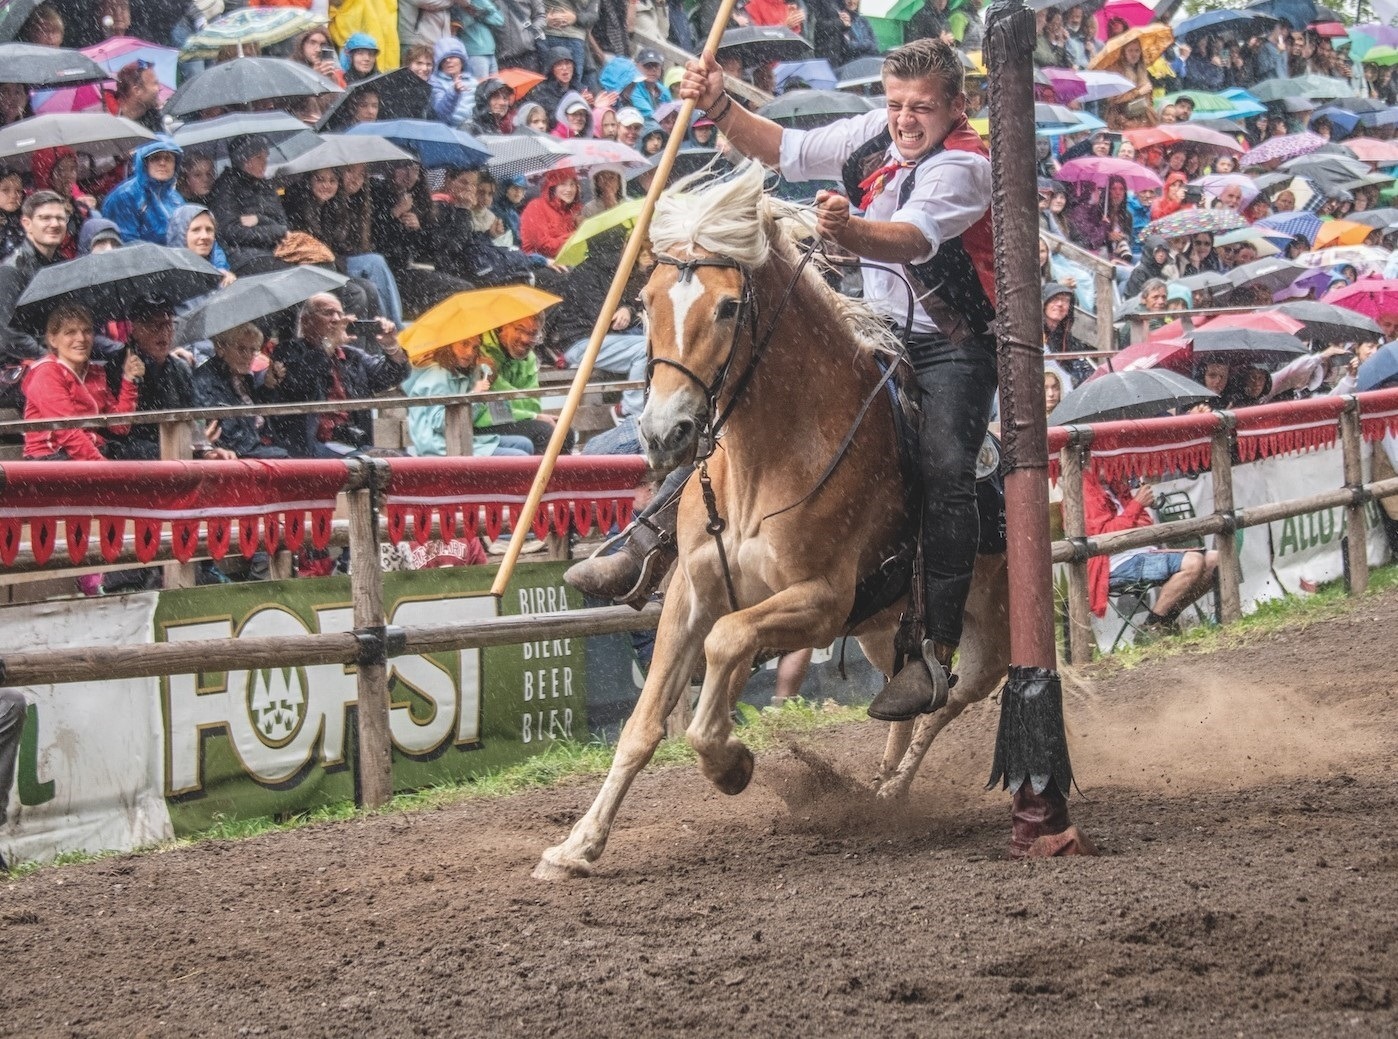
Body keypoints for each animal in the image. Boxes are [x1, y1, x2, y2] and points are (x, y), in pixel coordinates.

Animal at [531, 166, 1006, 883]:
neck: (773, 458)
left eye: (729, 307)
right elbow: (642, 726)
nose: (664, 433)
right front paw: (578, 845)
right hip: (883, 631)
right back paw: (880, 785)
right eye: (646, 299)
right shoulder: (690, 593)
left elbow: (726, 646)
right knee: (903, 704)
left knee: (942, 702)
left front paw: (731, 762)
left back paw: (891, 794)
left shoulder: (821, 602)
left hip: (986, 646)